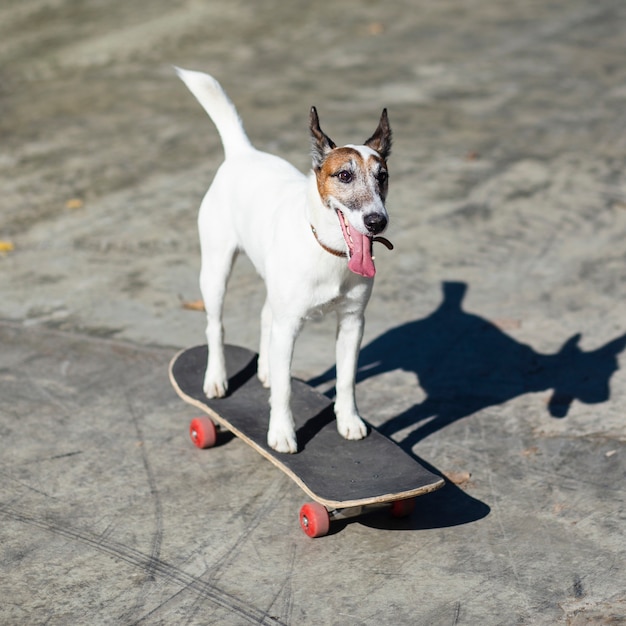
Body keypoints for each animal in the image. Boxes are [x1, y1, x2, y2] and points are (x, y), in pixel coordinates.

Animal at [176, 66, 390, 450]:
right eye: (344, 175)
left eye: (383, 178)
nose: (377, 221)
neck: (328, 249)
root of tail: (243, 153)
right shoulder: (289, 326)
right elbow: (287, 386)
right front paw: (281, 432)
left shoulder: (353, 322)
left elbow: (346, 378)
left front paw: (348, 420)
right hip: (215, 270)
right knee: (215, 325)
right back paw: (216, 378)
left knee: (265, 316)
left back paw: (264, 370)